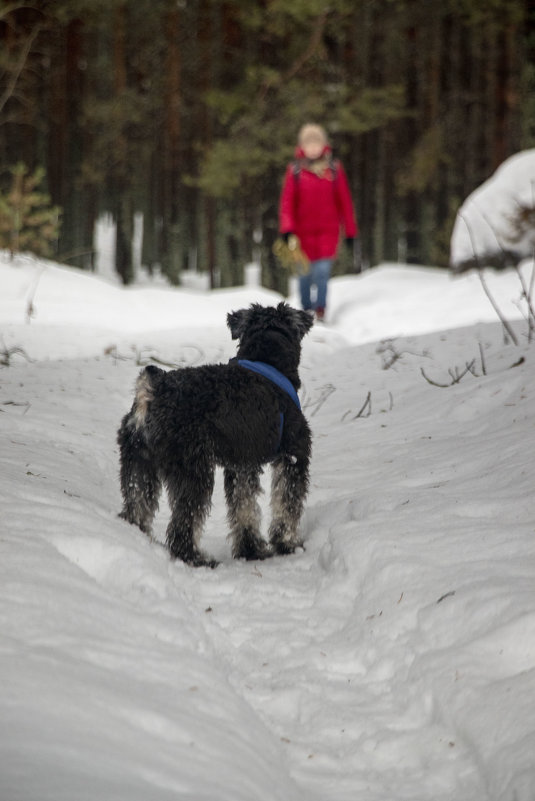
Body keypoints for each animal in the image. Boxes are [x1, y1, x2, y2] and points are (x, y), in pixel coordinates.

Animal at [115, 304, 312, 564]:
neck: (266, 359)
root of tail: (152, 391)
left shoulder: (242, 465)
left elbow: (244, 507)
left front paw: (251, 550)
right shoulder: (294, 455)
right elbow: (286, 504)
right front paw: (288, 544)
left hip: (139, 465)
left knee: (136, 508)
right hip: (193, 472)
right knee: (182, 526)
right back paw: (198, 559)